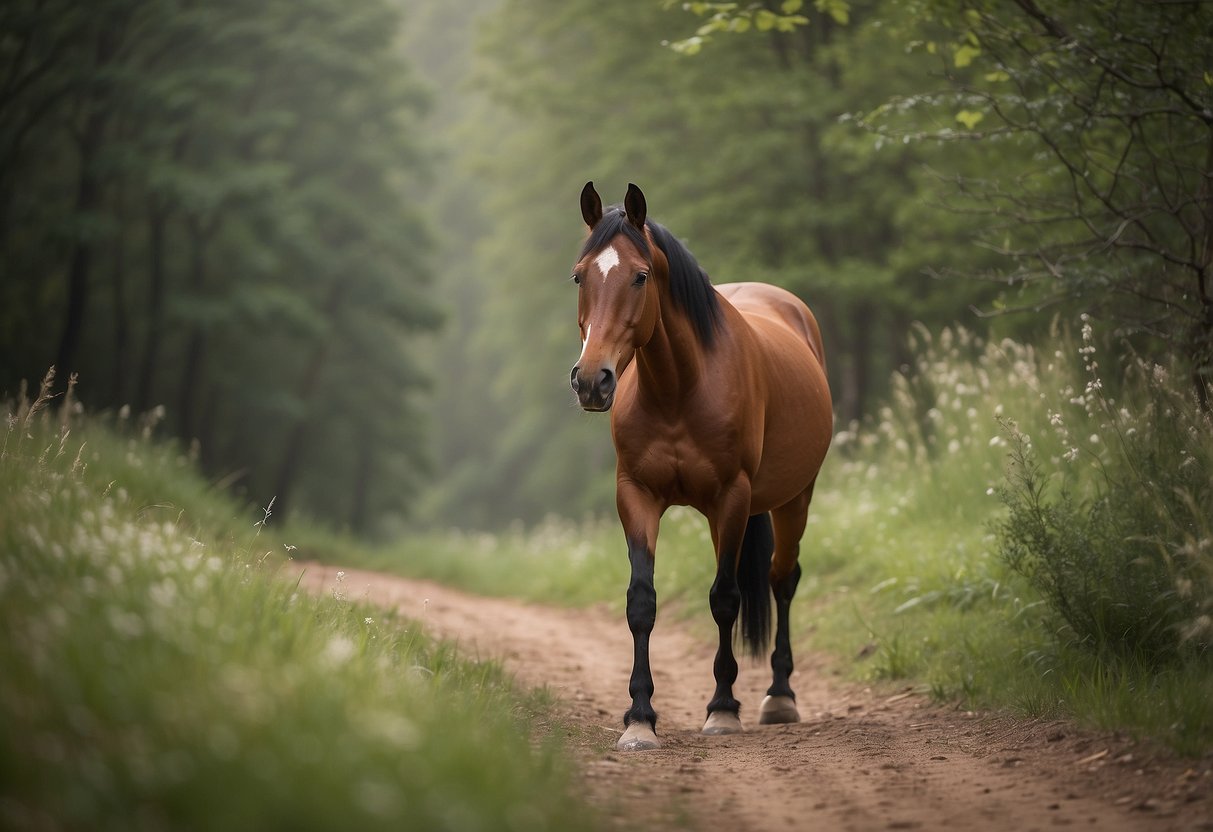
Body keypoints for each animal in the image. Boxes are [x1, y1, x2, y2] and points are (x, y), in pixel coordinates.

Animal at [567, 184, 834, 756]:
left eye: (640, 276)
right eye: (579, 276)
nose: (592, 380)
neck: (679, 390)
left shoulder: (730, 498)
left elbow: (725, 599)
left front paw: (723, 709)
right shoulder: (636, 497)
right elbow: (641, 602)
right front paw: (639, 717)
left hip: (793, 499)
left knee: (782, 579)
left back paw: (779, 696)